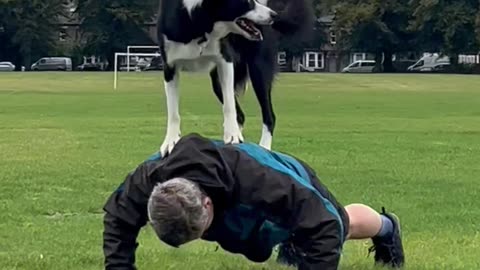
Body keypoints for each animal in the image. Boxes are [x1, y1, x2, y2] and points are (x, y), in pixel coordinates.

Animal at [158, 0, 316, 155]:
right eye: (248, 2)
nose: (273, 15)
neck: (198, 24)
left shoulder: (225, 61)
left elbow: (229, 106)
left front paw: (232, 134)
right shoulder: (170, 68)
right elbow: (173, 111)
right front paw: (170, 141)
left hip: (258, 70)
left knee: (269, 116)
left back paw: (263, 148)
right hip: (217, 83)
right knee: (241, 115)